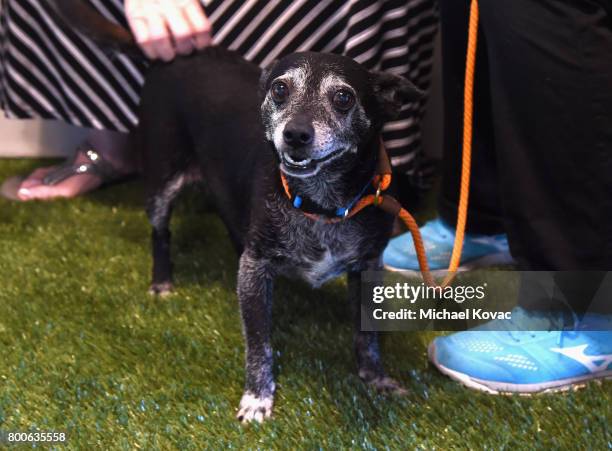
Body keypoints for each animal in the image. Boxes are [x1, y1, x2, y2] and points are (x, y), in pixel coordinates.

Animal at [53, 0, 420, 424]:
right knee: (161, 233)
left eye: (343, 98)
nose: (295, 134)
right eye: (280, 89)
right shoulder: (256, 268)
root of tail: (177, 54)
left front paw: (376, 378)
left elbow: (368, 336)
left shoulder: (368, 267)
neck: (320, 205)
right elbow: (258, 343)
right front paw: (258, 397)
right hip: (162, 179)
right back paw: (162, 282)